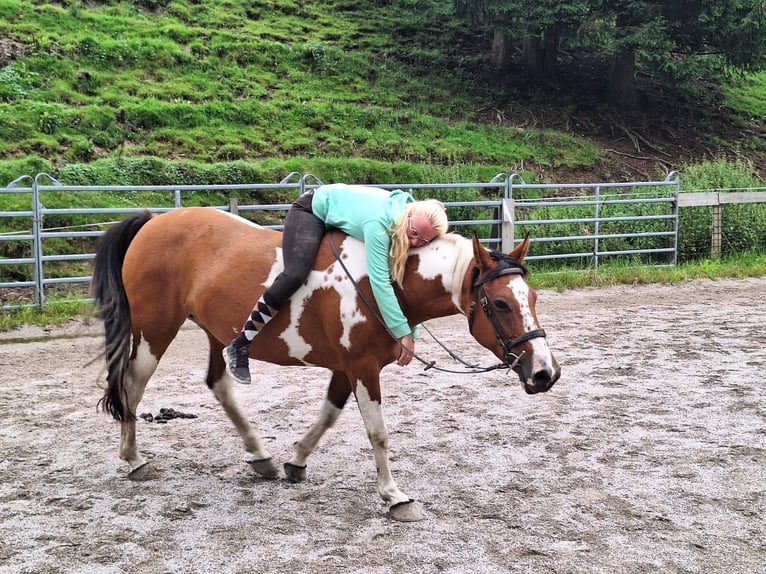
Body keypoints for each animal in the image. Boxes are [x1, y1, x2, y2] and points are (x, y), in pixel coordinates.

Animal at [91, 209, 564, 524]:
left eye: (533, 297)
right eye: (500, 304)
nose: (545, 372)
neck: (384, 281)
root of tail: (153, 221)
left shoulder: (347, 368)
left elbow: (329, 415)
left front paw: (296, 461)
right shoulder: (363, 368)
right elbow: (378, 433)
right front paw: (394, 496)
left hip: (215, 333)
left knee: (219, 384)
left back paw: (260, 455)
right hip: (154, 331)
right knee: (132, 385)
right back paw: (133, 460)